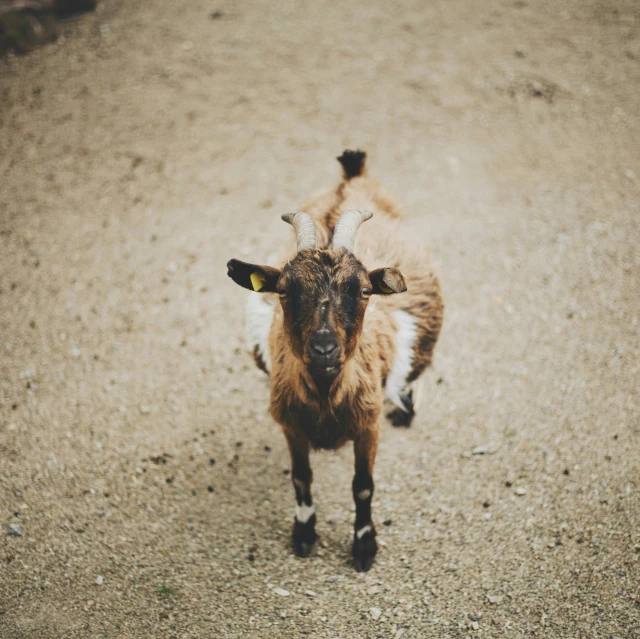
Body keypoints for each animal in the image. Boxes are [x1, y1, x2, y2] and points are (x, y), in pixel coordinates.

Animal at [228, 152, 442, 572]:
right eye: (283, 290)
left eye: (364, 290)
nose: (324, 348)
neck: (326, 395)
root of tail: (352, 175)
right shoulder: (290, 425)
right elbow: (301, 478)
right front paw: (304, 534)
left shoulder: (368, 425)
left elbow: (363, 486)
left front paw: (364, 546)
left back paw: (405, 408)